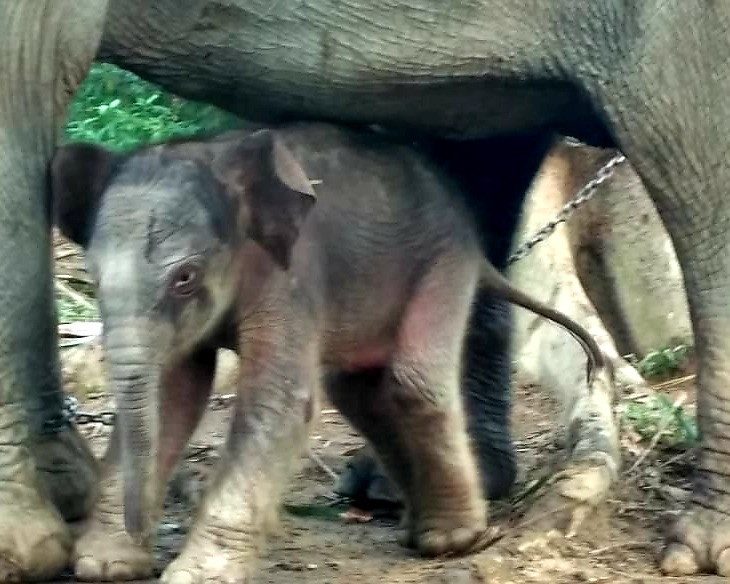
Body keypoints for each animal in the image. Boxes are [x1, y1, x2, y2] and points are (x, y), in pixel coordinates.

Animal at [54, 124, 604, 584]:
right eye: (93, 278)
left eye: (184, 277)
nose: (143, 525)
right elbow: (172, 398)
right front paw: (106, 565)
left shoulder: (292, 277)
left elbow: (279, 402)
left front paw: (195, 576)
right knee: (360, 391)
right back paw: (416, 526)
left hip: (442, 264)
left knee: (413, 381)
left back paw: (451, 540)